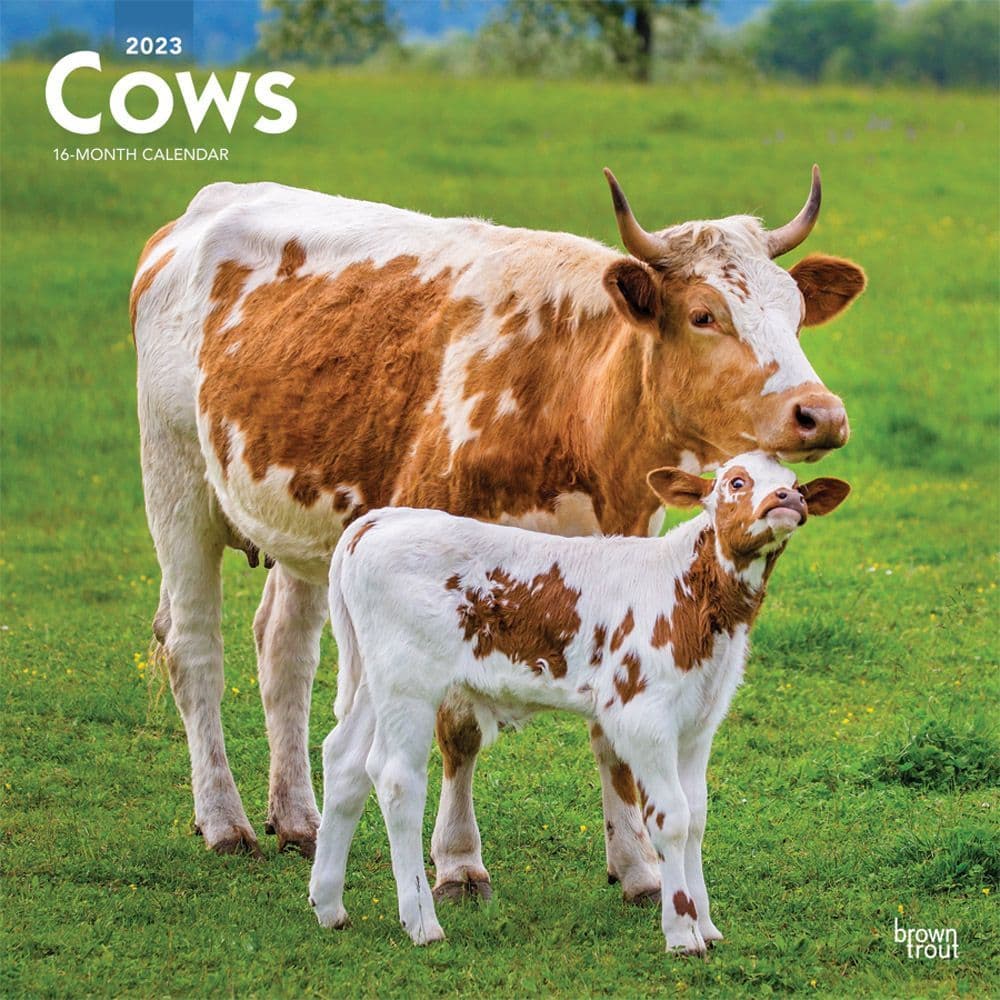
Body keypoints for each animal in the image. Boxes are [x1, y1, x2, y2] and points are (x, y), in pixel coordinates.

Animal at [309, 452, 851, 950]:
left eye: (796, 482)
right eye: (737, 481)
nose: (787, 499)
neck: (695, 596)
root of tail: (379, 521)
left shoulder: (698, 723)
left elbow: (696, 817)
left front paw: (708, 925)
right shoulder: (643, 718)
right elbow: (671, 818)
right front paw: (682, 933)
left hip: (374, 683)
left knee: (345, 763)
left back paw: (329, 905)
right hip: (409, 682)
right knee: (396, 778)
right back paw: (421, 923)